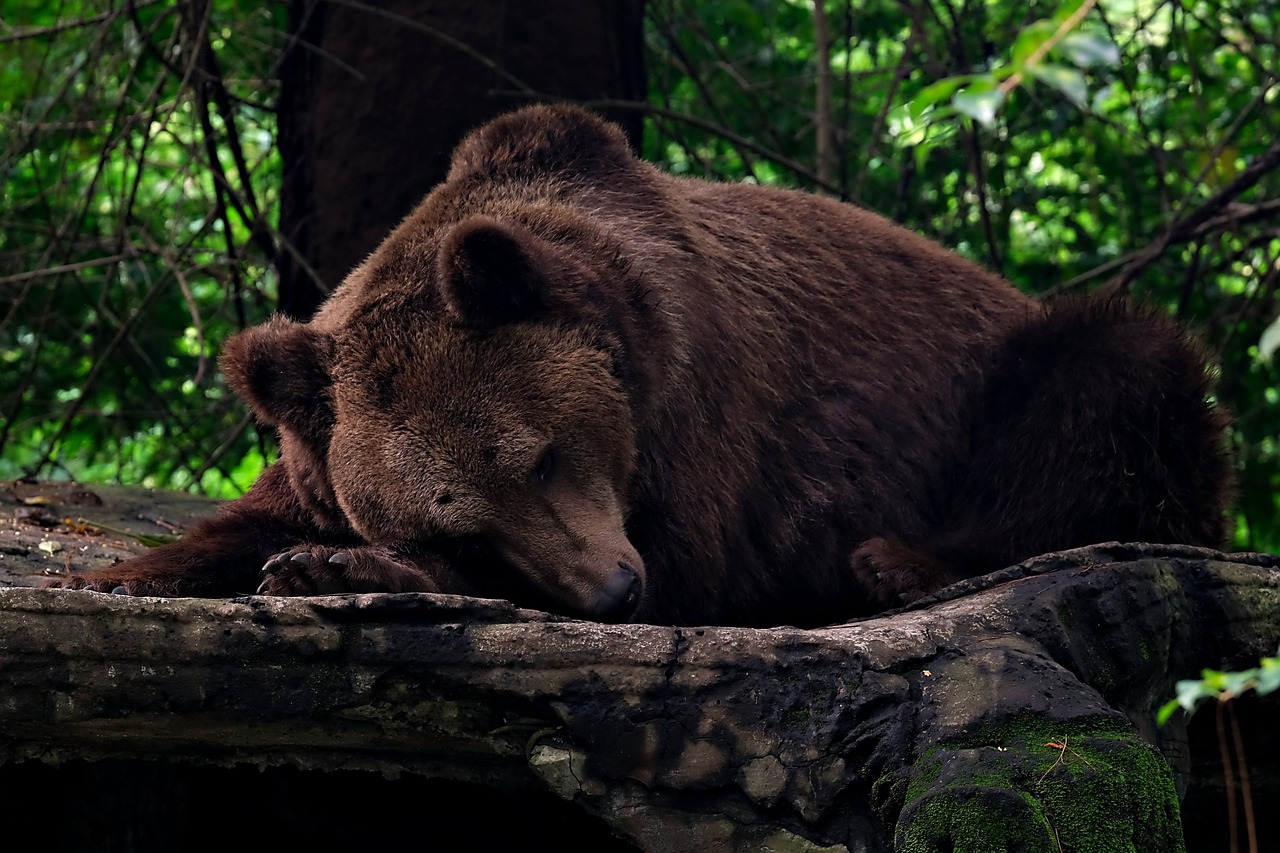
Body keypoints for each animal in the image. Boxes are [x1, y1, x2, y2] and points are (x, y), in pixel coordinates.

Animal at [47, 106, 1228, 625]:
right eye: (452, 518)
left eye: (538, 455)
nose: (613, 586)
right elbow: (248, 514)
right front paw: (132, 567)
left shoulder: (714, 424)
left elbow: (698, 560)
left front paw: (331, 568)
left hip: (1001, 377)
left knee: (1116, 377)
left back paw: (899, 558)